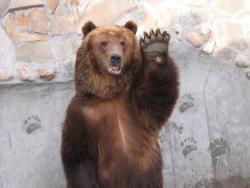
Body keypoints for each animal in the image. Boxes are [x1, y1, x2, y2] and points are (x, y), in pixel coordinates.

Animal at [61, 20, 179, 188]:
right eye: (104, 43)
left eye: (123, 42)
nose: (115, 57)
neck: (109, 94)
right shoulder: (81, 115)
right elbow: (78, 155)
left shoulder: (134, 102)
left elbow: (156, 99)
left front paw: (155, 45)